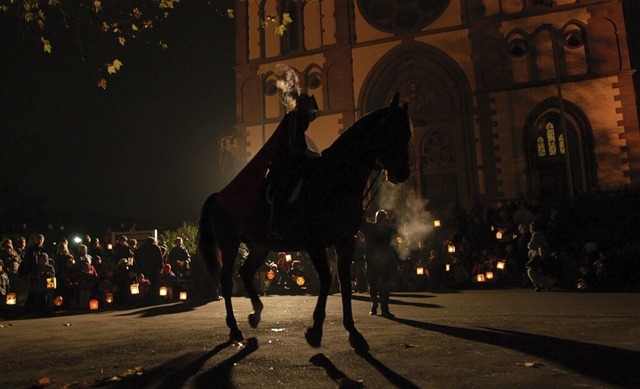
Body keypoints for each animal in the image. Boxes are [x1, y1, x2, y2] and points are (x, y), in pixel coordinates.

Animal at [198, 94, 412, 352]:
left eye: (407, 133)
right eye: (394, 131)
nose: (403, 172)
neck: (335, 178)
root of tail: (219, 195)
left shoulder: (345, 241)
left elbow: (344, 281)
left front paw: (353, 332)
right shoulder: (314, 244)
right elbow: (326, 279)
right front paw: (316, 330)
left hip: (260, 245)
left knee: (246, 272)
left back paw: (256, 313)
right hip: (229, 244)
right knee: (227, 282)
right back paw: (234, 328)